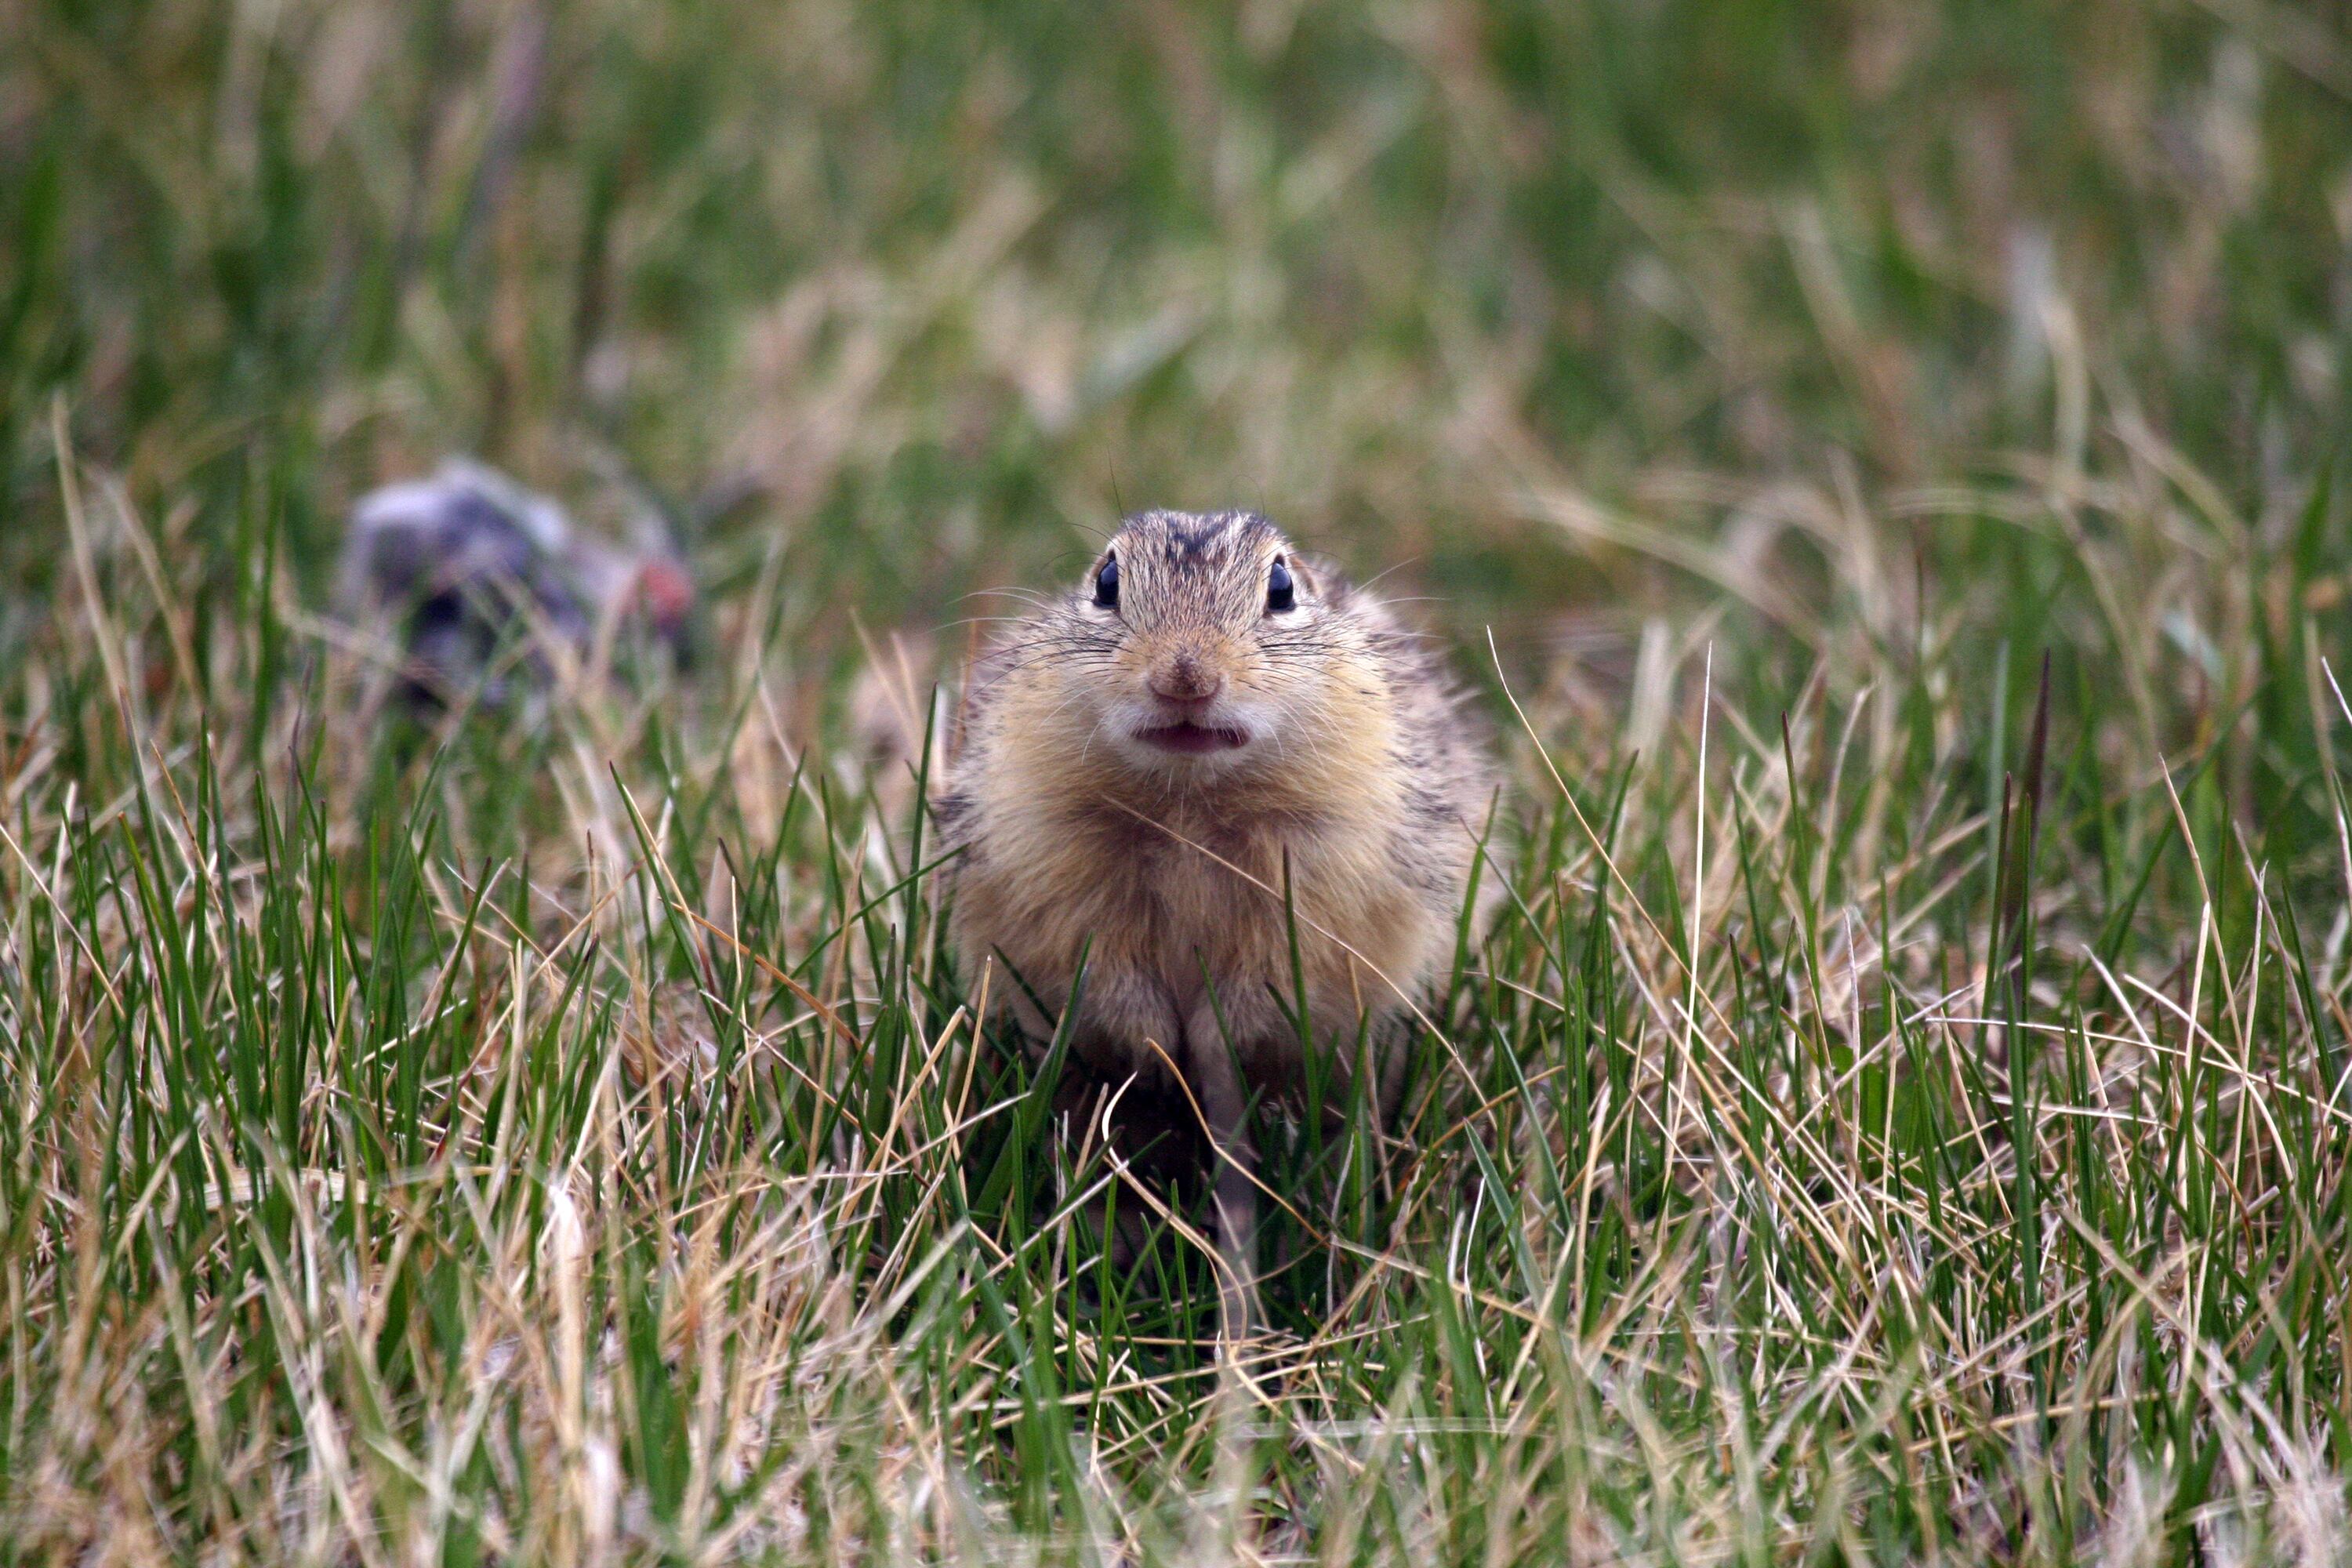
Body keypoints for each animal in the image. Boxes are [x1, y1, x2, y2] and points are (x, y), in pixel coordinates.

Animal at [931, 512, 1496, 1298]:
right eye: (1106, 581)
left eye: (1282, 587)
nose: (1185, 675)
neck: (1188, 805)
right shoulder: (1051, 867)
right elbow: (1103, 970)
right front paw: (1160, 1052)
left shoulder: (1324, 885)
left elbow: (1266, 979)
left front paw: (1208, 1045)